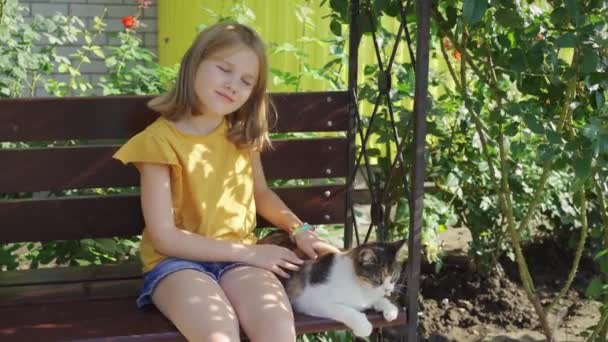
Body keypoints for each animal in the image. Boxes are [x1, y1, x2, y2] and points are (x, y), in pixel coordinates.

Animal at [258, 230, 406, 336]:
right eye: (378, 280)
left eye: (394, 277)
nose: (388, 290)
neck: (360, 284)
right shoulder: (309, 301)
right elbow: (345, 310)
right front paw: (363, 326)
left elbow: (378, 300)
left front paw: (390, 309)